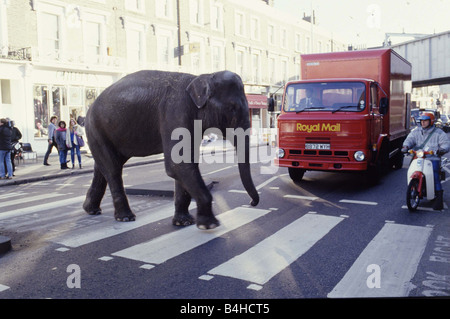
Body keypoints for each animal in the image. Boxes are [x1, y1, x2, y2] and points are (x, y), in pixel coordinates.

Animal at [82, 70, 260, 230]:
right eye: (232, 108)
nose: (251, 203)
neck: (201, 77)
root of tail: (88, 110)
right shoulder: (175, 111)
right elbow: (178, 165)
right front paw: (209, 224)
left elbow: (185, 164)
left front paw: (184, 222)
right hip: (96, 128)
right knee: (112, 169)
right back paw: (125, 217)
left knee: (104, 167)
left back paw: (91, 209)